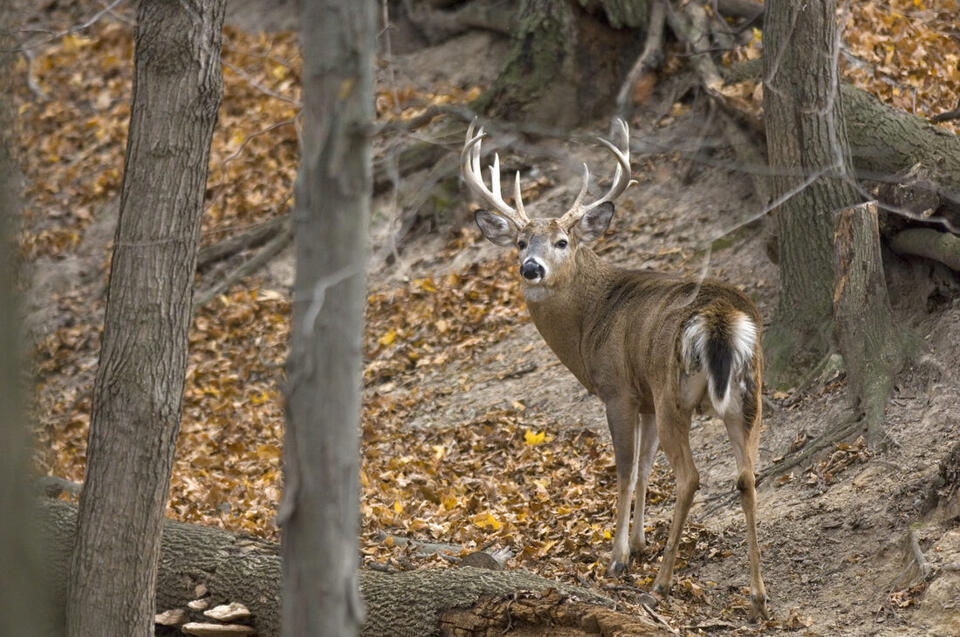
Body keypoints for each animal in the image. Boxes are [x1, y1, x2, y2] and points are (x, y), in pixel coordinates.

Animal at [461, 118, 769, 620]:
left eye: (563, 242)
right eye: (521, 242)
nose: (531, 268)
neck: (592, 319)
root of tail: (721, 317)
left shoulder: (619, 390)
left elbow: (624, 469)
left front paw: (619, 556)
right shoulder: (644, 398)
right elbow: (644, 468)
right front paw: (640, 543)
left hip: (674, 392)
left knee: (690, 476)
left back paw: (661, 583)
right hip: (747, 393)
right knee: (746, 477)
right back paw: (759, 596)